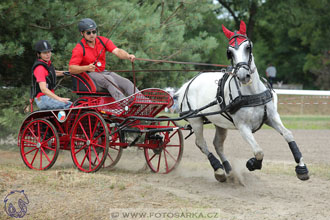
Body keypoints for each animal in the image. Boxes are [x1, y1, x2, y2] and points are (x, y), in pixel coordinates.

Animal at [178, 21, 310, 182]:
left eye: (248, 47)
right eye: (229, 52)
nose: (243, 76)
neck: (252, 93)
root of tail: (187, 84)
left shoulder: (271, 117)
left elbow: (288, 134)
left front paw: (302, 168)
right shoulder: (243, 127)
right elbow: (258, 151)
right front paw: (253, 163)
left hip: (219, 122)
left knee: (217, 144)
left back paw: (228, 170)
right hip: (196, 120)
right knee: (201, 143)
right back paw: (219, 170)